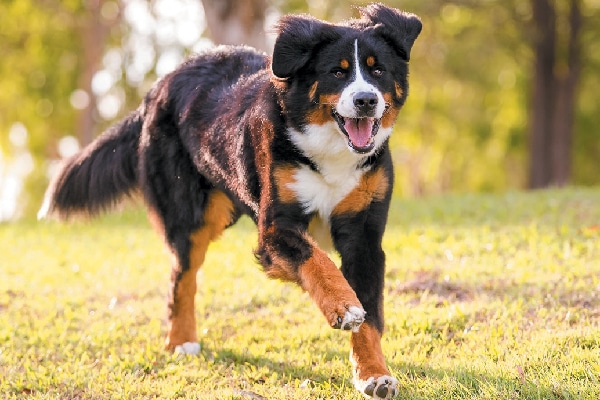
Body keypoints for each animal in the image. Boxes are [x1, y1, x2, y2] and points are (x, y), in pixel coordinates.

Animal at [38, 3, 422, 400]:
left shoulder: (363, 236)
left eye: (378, 70)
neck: (331, 153)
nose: (366, 101)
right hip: (193, 217)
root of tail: (159, 86)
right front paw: (342, 306)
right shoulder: (275, 228)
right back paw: (181, 340)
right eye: (337, 72)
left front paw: (373, 374)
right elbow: (317, 262)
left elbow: (370, 316)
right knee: (181, 276)